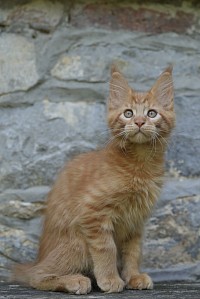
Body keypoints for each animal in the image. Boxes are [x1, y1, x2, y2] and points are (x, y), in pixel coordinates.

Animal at [13, 66, 175, 296]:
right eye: (128, 113)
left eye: (151, 113)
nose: (139, 122)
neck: (140, 163)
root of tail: (37, 259)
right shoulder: (92, 213)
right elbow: (107, 248)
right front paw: (110, 279)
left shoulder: (136, 222)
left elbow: (133, 251)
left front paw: (133, 276)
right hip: (77, 242)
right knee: (37, 276)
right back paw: (74, 280)